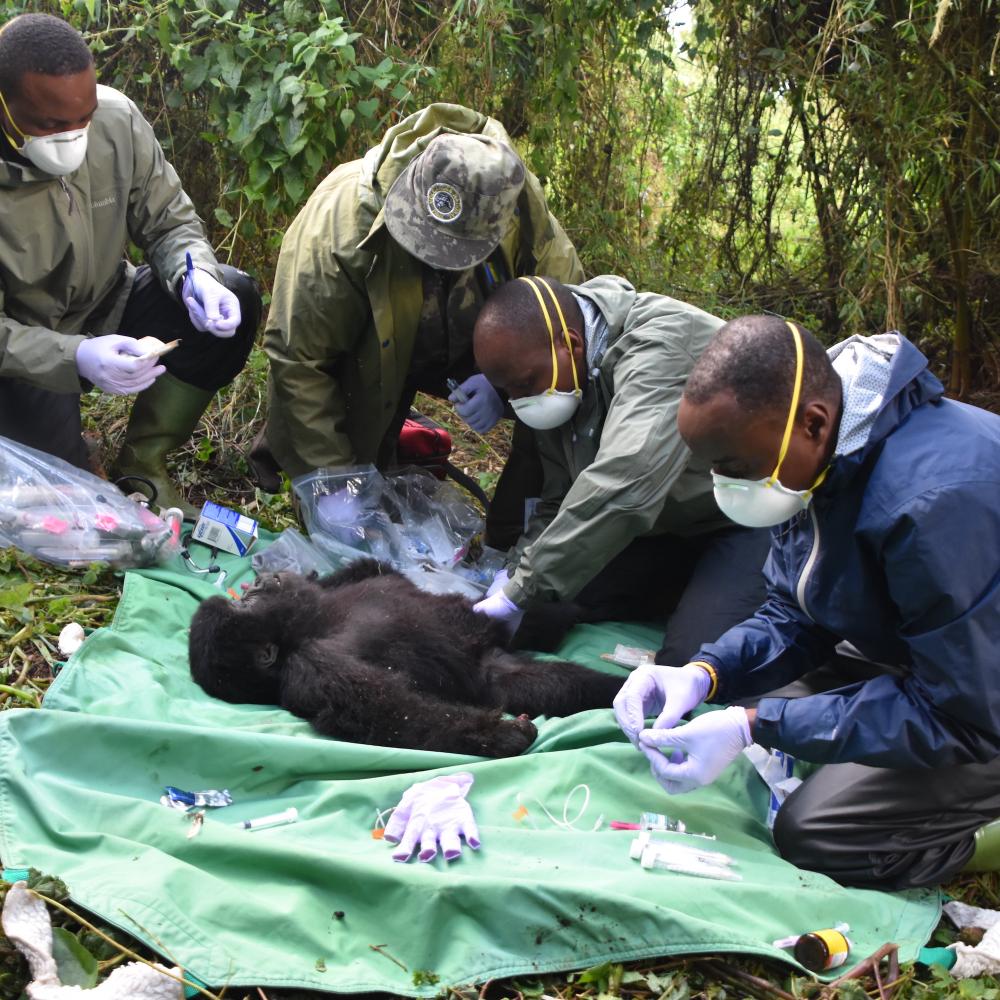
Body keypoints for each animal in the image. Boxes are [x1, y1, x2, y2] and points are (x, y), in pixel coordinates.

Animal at [188, 564, 620, 756]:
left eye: (247, 598)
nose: (259, 581)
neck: (313, 622)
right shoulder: (314, 665)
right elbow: (391, 712)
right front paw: (498, 735)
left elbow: (371, 569)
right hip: (492, 672)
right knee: (550, 682)